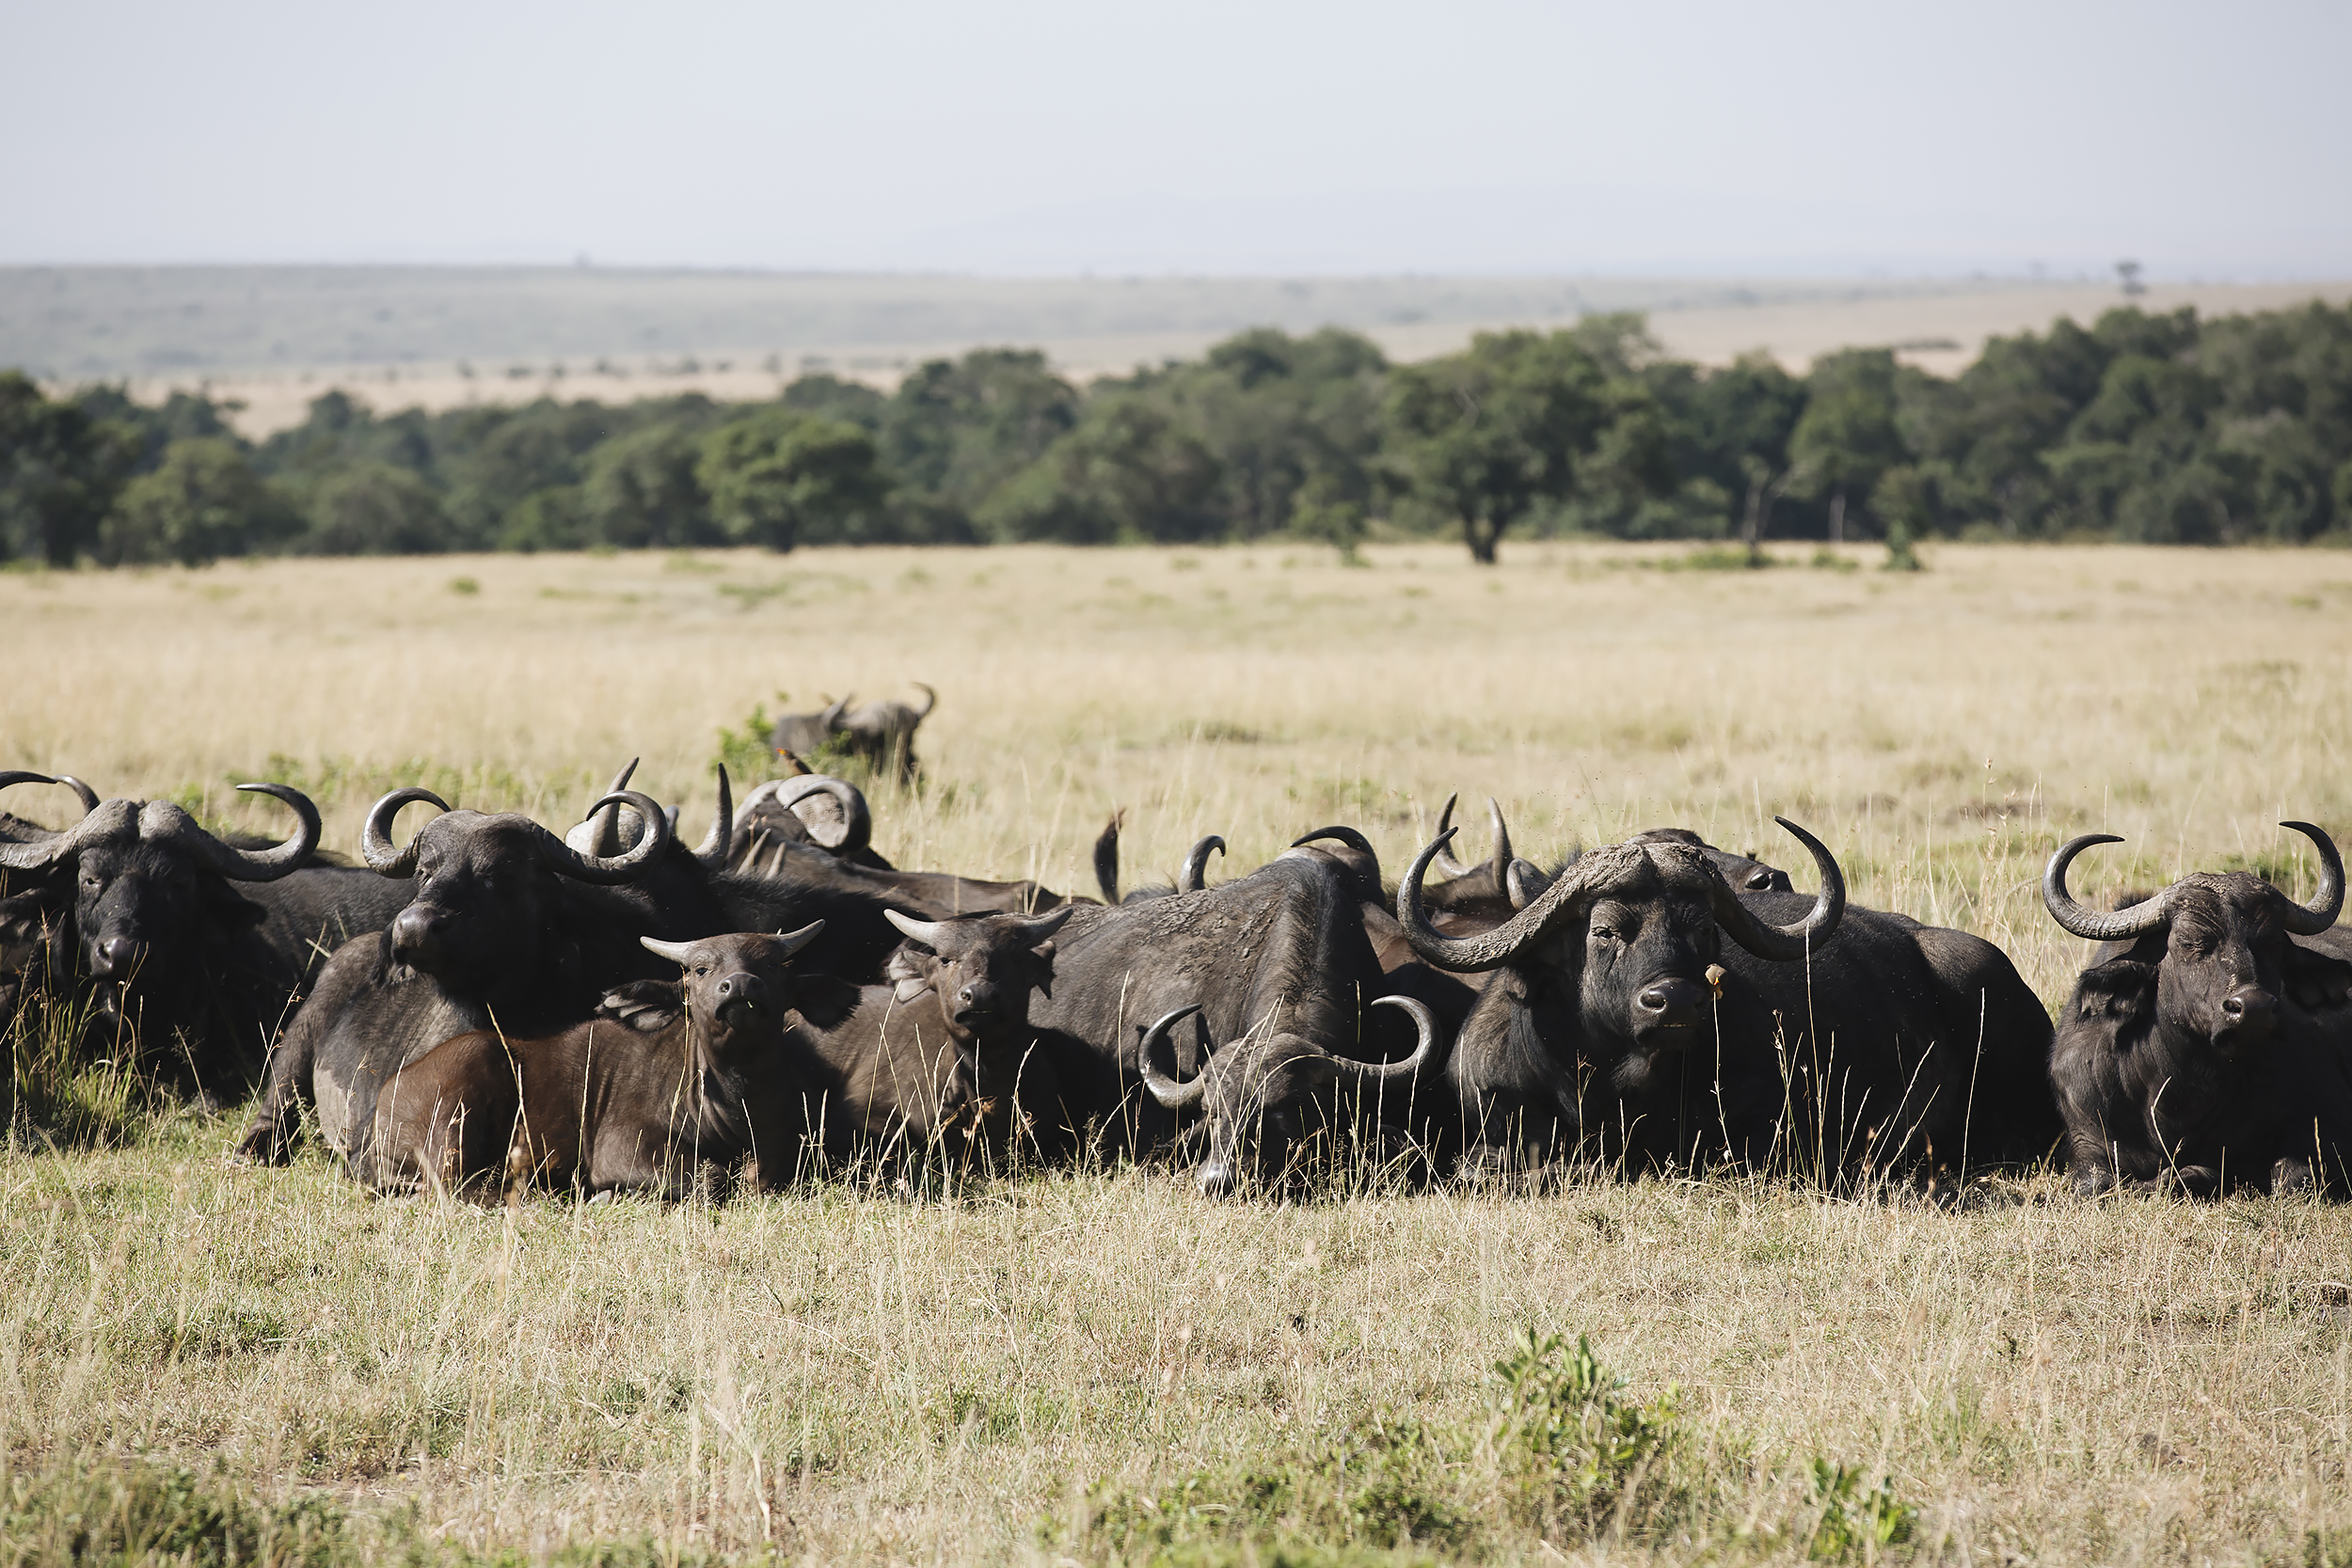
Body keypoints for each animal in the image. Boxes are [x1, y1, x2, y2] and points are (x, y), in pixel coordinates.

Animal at [2042, 827, 2352, 1194]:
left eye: (2272, 942)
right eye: (2192, 942)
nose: (2254, 1008)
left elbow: (2288, 1175)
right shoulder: (2087, 1141)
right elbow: (2099, 1182)